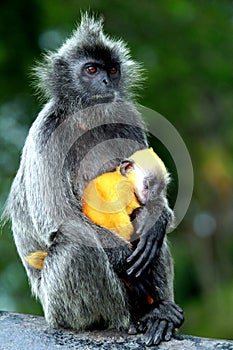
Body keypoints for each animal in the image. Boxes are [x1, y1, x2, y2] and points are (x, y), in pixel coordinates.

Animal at [2, 14, 183, 348]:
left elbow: (153, 207)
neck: (86, 118)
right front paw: (129, 264)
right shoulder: (47, 132)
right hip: (60, 308)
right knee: (76, 244)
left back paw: (161, 312)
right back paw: (137, 314)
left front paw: (157, 216)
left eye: (112, 70)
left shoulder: (127, 118)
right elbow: (59, 218)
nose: (106, 83)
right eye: (90, 70)